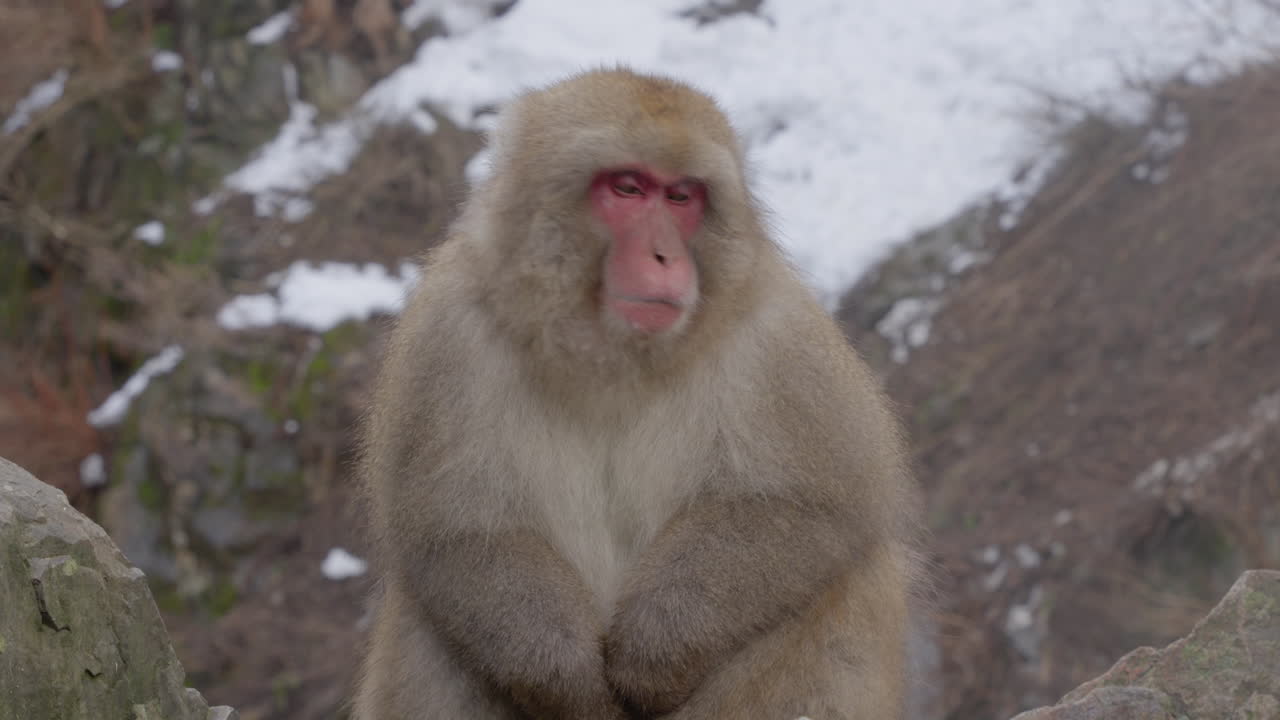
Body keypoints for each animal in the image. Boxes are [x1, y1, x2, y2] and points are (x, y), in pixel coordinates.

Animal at [352, 67, 923, 720]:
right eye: (627, 188)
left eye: (681, 197)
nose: (664, 255)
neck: (614, 359)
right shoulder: (446, 332)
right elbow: (456, 536)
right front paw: (574, 688)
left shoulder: (778, 333)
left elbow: (815, 507)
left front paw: (651, 656)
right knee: (425, 624)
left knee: (851, 581)